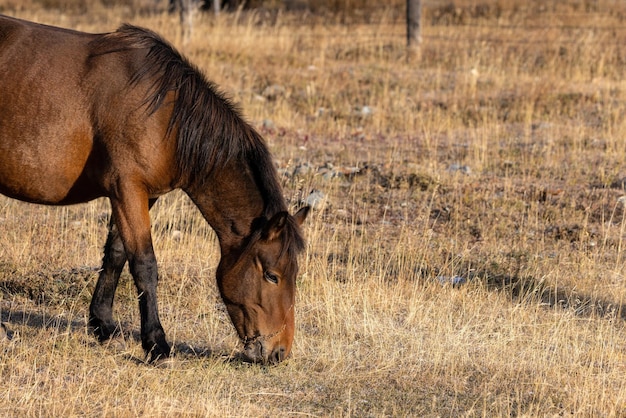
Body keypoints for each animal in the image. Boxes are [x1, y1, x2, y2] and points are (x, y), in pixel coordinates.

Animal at [0, 14, 308, 364]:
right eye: (272, 275)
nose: (279, 351)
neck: (164, 118)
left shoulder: (143, 196)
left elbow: (116, 254)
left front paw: (102, 324)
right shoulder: (126, 188)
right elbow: (145, 264)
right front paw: (156, 343)